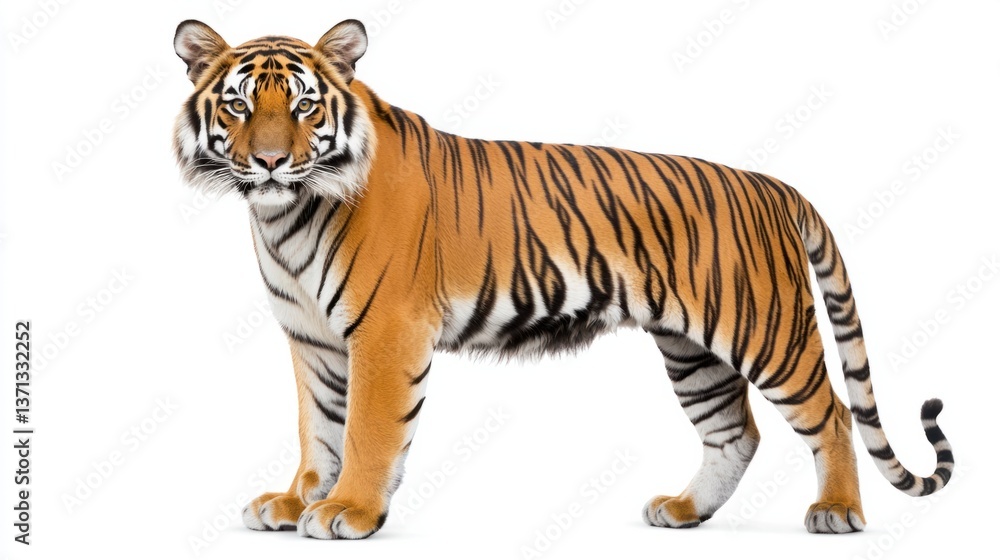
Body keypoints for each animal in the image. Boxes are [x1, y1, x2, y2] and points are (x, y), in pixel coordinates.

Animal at [172, 18, 954, 539]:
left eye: (304, 106)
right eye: (239, 104)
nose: (271, 162)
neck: (287, 214)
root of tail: (771, 183)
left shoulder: (385, 332)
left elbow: (367, 429)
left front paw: (350, 511)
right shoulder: (314, 341)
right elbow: (320, 431)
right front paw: (298, 501)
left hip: (766, 330)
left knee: (832, 413)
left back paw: (838, 512)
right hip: (691, 349)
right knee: (736, 432)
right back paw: (684, 511)